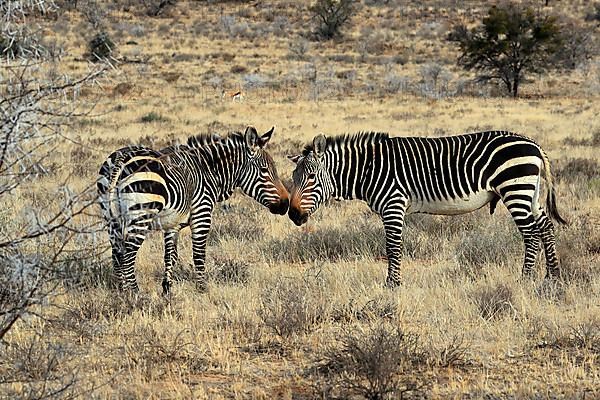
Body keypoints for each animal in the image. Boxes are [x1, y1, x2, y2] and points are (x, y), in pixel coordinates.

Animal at [97, 126, 290, 296]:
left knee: (117, 254)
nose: (286, 204)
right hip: (141, 214)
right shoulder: (202, 215)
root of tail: (122, 158)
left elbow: (170, 256)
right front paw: (202, 289)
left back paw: (121, 292)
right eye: (264, 170)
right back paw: (136, 294)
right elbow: (199, 254)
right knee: (128, 255)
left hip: (111, 218)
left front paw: (167, 290)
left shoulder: (172, 223)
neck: (209, 170)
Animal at [288, 130, 564, 286]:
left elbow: (392, 247)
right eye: (293, 177)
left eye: (311, 177)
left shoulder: (394, 204)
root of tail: (534, 144)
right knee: (546, 227)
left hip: (516, 189)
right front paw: (392, 282)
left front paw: (392, 284)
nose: (292, 214)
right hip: (531, 193)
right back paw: (552, 277)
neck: (369, 170)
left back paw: (525, 279)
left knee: (530, 234)